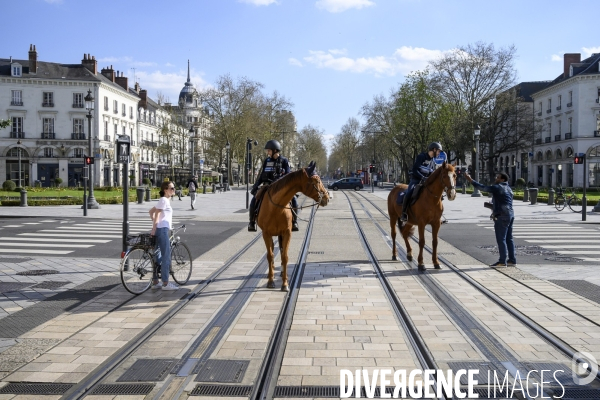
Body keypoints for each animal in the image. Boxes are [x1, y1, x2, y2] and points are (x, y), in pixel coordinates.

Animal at [254, 162, 328, 290]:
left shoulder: (287, 232)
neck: (276, 207)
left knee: (281, 250)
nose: (327, 197)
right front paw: (270, 280)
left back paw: (282, 272)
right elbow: (270, 255)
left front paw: (285, 284)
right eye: (317, 181)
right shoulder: (266, 233)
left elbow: (285, 256)